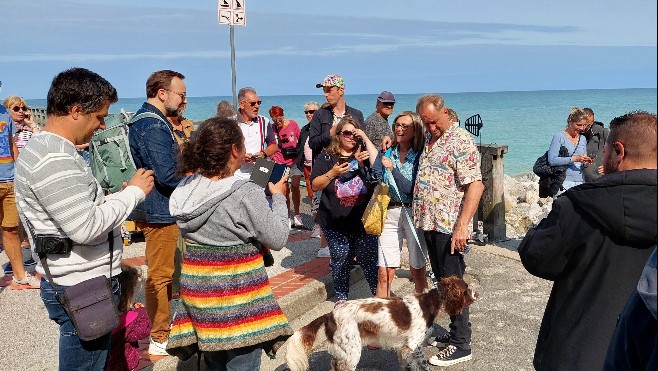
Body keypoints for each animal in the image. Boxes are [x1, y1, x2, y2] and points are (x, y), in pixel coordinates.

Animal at [284, 276, 474, 371]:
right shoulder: (412, 346)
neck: (428, 302)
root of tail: (330, 314)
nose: (477, 295)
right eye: (467, 290)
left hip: (343, 351)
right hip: (352, 352)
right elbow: (421, 364)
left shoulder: (405, 348)